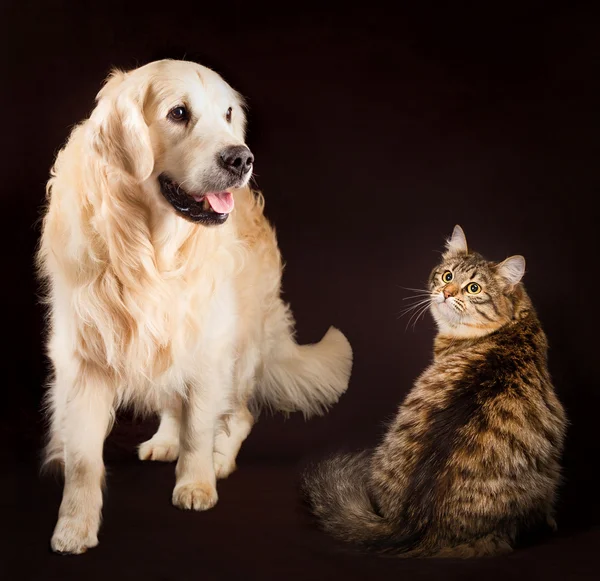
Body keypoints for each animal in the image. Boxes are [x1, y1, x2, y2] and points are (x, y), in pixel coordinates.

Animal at [36, 59, 352, 552]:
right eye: (178, 113)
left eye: (227, 114)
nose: (241, 158)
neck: (150, 252)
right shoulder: (84, 358)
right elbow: (84, 456)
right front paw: (73, 526)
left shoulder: (209, 347)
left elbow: (201, 426)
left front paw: (197, 483)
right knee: (173, 399)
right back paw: (166, 440)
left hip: (240, 352)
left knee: (238, 414)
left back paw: (219, 459)